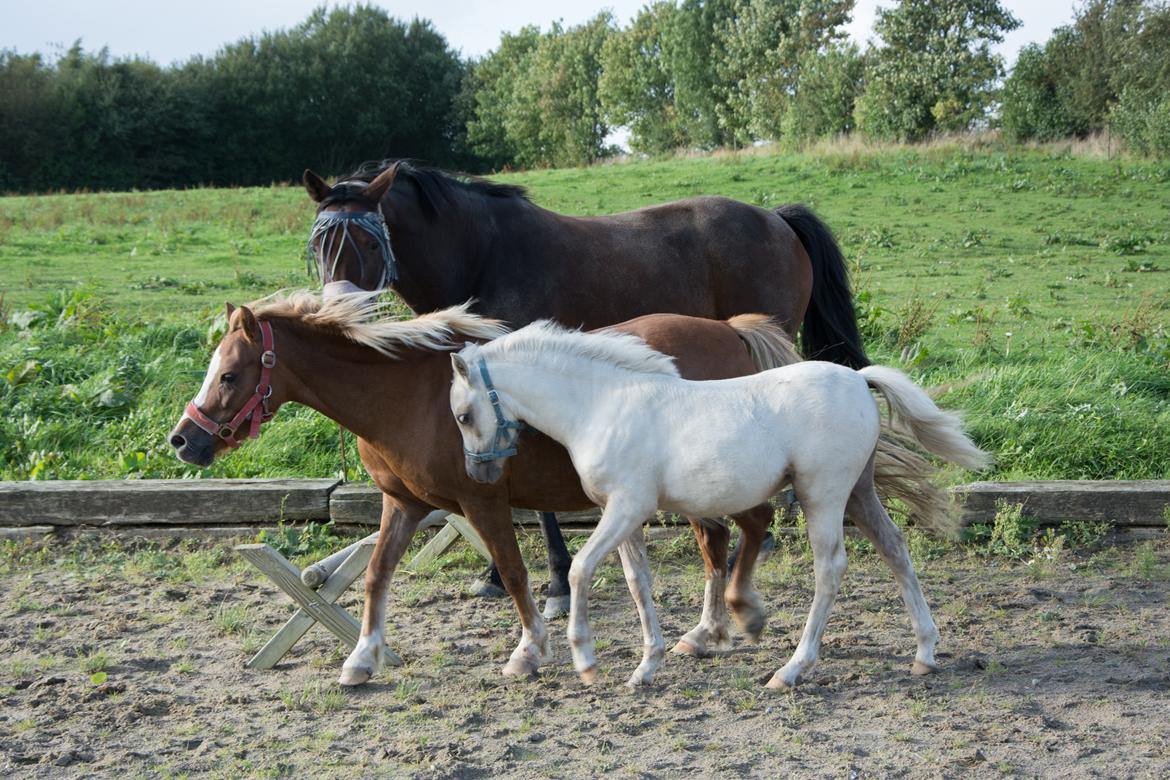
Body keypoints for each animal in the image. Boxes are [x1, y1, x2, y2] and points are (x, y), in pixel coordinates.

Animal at [168, 293, 836, 686]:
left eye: (230, 374)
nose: (184, 440)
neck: (404, 397)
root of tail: (729, 331)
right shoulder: (403, 505)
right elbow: (377, 574)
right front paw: (360, 659)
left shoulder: (482, 501)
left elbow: (515, 574)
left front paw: (532, 650)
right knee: (723, 543)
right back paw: (706, 633)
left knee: (743, 533)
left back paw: (732, 621)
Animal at [301, 160, 869, 605]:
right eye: (318, 243)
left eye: (368, 239)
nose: (336, 313)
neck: (483, 256)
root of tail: (776, 217)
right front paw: (496, 574)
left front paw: (554, 582)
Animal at [449, 323, 989, 688]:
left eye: (463, 415)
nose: (478, 474)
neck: (603, 405)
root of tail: (859, 380)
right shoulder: (626, 516)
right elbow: (638, 583)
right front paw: (646, 667)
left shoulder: (626, 507)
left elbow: (582, 568)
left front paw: (586, 661)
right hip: (859, 491)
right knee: (895, 549)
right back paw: (924, 652)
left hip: (823, 494)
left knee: (830, 569)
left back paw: (791, 669)